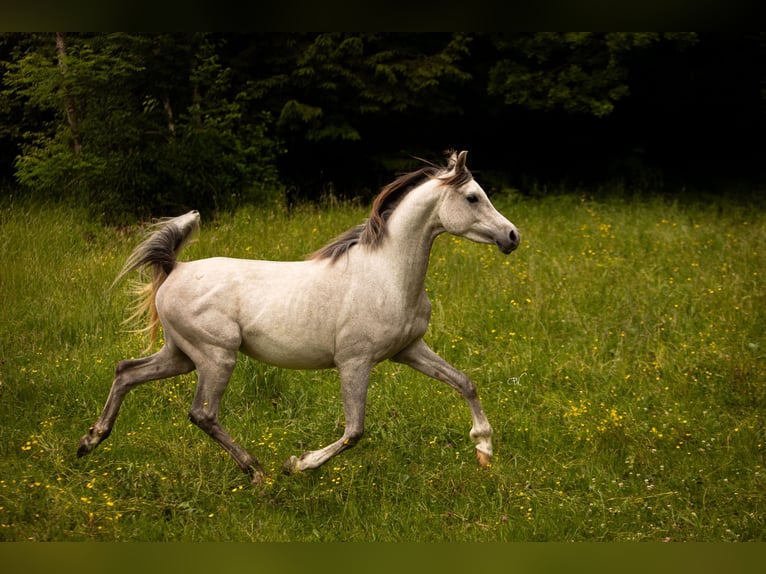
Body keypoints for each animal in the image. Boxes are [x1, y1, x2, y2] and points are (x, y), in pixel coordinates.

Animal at [77, 150, 520, 484]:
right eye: (473, 198)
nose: (513, 236)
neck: (387, 275)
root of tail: (175, 269)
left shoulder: (409, 349)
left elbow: (464, 383)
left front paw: (483, 447)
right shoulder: (355, 362)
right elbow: (354, 431)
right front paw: (299, 464)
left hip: (181, 355)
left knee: (126, 370)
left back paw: (90, 441)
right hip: (216, 357)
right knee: (202, 413)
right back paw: (257, 471)